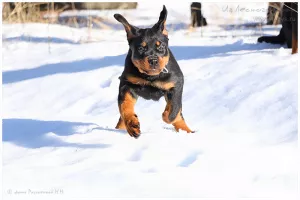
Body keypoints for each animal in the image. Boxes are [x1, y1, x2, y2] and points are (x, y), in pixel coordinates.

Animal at [113, 5, 193, 138]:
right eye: (141, 48)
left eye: (160, 46)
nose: (153, 60)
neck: (151, 77)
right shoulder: (126, 84)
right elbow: (125, 106)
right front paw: (132, 124)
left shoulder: (176, 83)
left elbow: (174, 108)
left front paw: (166, 115)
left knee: (179, 113)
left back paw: (187, 131)